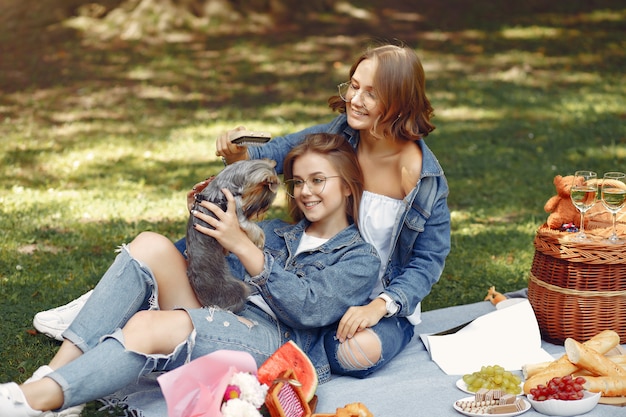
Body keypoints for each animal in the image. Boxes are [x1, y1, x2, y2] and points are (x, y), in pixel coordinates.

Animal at [185, 159, 278, 312]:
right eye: (264, 201)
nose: (260, 211)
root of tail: (210, 305)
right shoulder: (237, 210)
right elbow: (253, 228)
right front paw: (260, 240)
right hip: (237, 288)